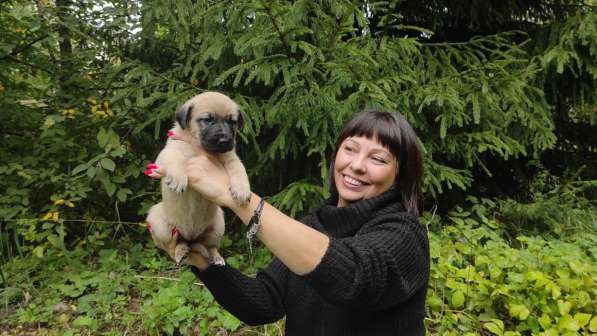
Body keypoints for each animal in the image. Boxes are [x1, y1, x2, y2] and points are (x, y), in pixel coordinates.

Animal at [146, 92, 250, 266]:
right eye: (207, 120)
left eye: (232, 122)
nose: (224, 140)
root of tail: (192, 237)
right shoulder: (169, 152)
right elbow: (175, 159)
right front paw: (178, 178)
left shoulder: (231, 158)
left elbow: (240, 170)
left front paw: (242, 190)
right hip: (159, 220)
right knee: (176, 242)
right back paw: (180, 251)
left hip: (218, 225)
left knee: (210, 246)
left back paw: (216, 257)